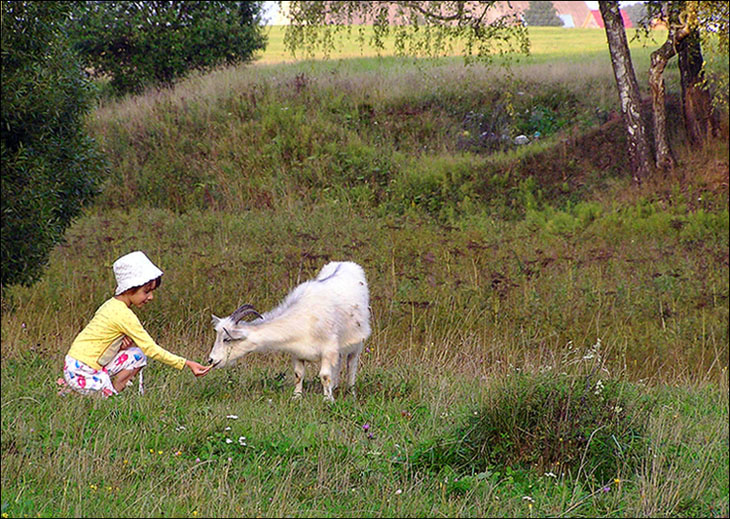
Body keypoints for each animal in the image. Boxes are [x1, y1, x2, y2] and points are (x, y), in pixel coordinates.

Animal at [209, 262, 370, 404]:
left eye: (227, 339)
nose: (211, 360)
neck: (305, 318)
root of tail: (347, 263)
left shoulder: (328, 349)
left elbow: (324, 375)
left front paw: (328, 400)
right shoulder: (298, 352)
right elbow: (298, 374)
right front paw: (296, 397)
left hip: (357, 343)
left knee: (351, 364)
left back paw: (351, 392)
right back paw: (335, 387)